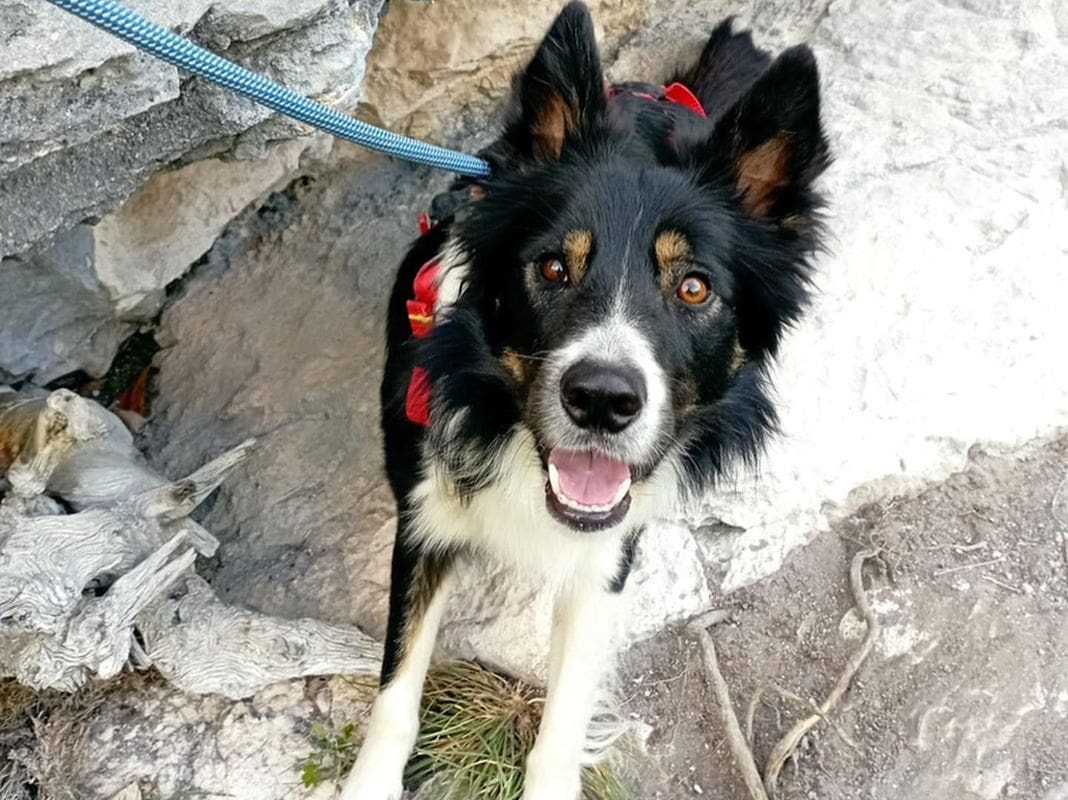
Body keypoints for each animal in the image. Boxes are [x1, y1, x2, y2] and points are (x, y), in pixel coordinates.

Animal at [339, 3, 824, 794]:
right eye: (552, 268)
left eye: (695, 288)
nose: (601, 400)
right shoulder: (424, 513)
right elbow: (398, 683)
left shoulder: (609, 553)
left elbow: (565, 715)